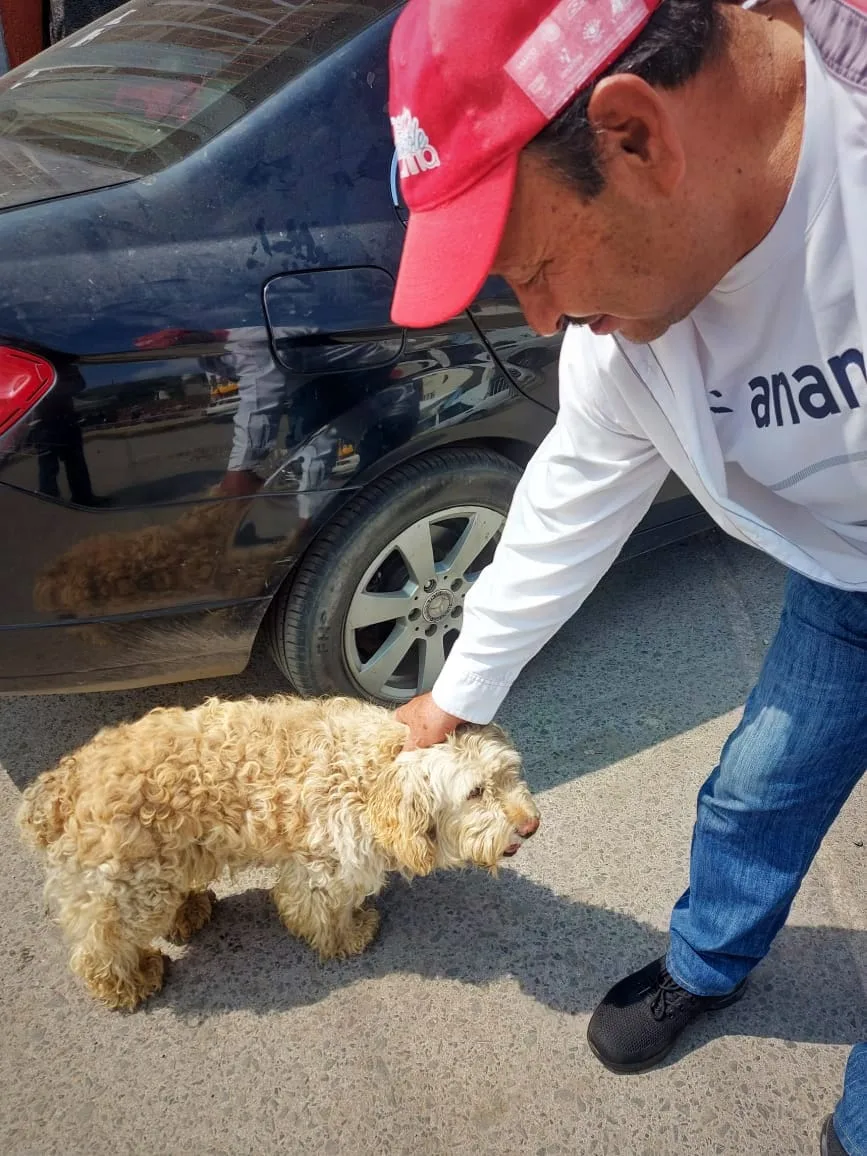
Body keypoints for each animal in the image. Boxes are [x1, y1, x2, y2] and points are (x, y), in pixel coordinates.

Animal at [16, 693, 541, 1012]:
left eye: (509, 774)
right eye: (475, 793)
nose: (530, 825)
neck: (370, 776)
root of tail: (63, 783)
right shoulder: (323, 869)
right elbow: (321, 911)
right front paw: (348, 936)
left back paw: (189, 909)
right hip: (128, 890)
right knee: (100, 947)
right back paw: (128, 982)